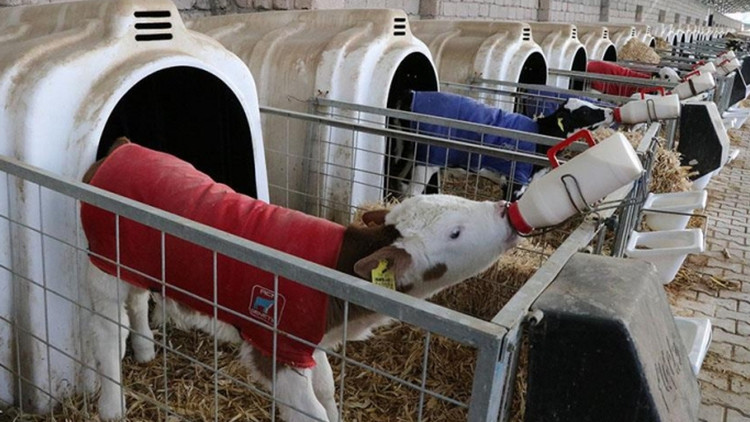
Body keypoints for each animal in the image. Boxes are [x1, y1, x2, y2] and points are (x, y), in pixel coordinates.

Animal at [79, 138, 520, 422]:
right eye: (455, 233)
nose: (504, 210)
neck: (338, 273)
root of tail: (122, 149)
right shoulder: (275, 347)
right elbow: (309, 412)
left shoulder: (309, 342)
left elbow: (326, 390)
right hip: (102, 261)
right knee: (107, 329)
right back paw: (112, 407)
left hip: (134, 259)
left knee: (136, 300)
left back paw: (142, 351)